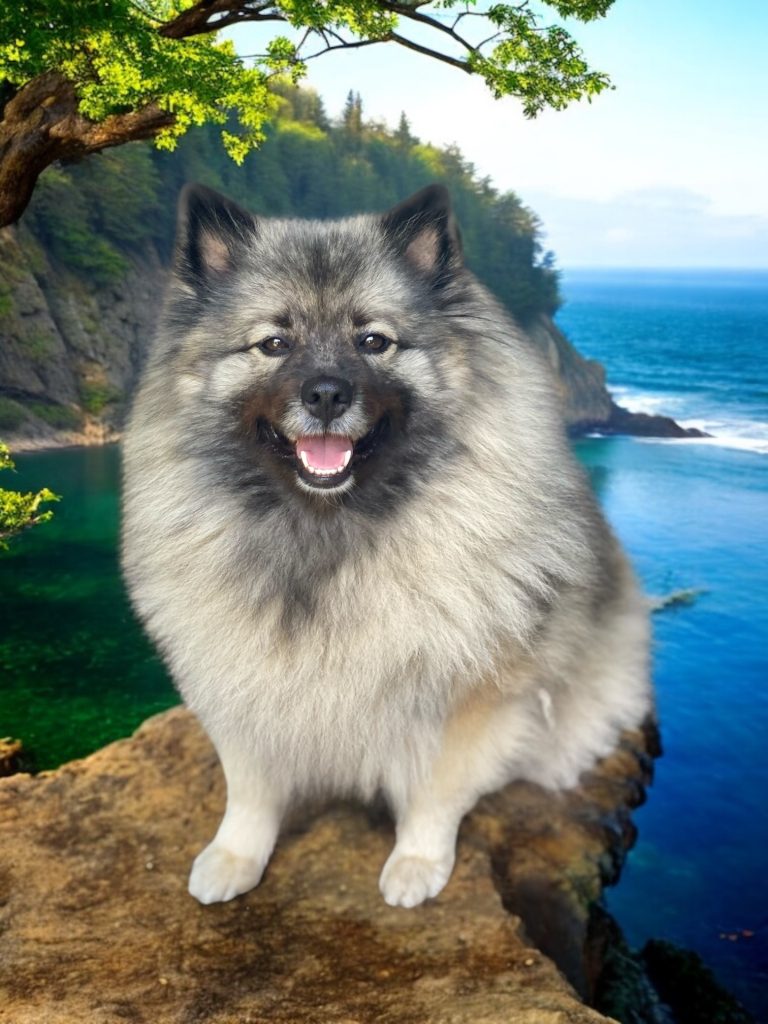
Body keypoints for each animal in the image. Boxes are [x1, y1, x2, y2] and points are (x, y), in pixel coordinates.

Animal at [121, 183, 651, 908]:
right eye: (274, 343)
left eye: (373, 341)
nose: (325, 394)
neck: (327, 530)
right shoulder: (241, 686)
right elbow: (250, 791)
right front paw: (236, 855)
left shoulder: (467, 701)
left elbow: (435, 791)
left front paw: (417, 862)